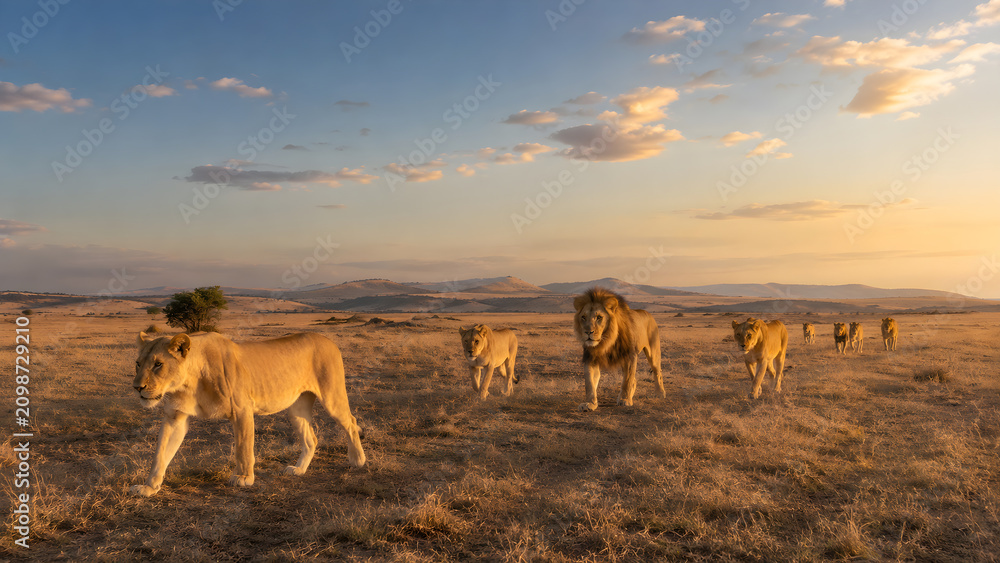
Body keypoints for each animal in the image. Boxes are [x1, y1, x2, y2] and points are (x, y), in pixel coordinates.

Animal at [131, 331, 365, 497]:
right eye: (138, 364)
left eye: (158, 364)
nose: (137, 388)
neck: (187, 382)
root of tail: (328, 340)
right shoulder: (175, 417)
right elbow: (160, 454)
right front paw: (148, 487)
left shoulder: (242, 409)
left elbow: (243, 448)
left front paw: (243, 478)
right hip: (296, 409)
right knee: (311, 439)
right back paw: (299, 470)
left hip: (332, 396)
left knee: (351, 422)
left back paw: (358, 459)